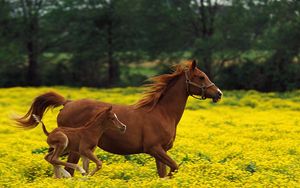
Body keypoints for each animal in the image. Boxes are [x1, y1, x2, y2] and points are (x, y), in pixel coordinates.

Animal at [15, 60, 221, 178]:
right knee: (66, 167)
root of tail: (68, 102)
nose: (219, 93)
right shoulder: (154, 149)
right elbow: (174, 168)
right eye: (200, 77)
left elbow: (163, 174)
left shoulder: (160, 152)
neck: (162, 113)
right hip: (73, 149)